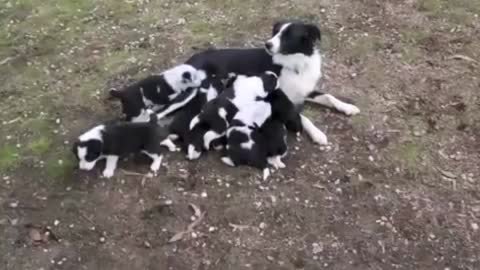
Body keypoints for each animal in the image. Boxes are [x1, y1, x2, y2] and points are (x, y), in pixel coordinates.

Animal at [184, 20, 360, 146]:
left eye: (288, 35)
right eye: (276, 33)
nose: (267, 44)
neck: (295, 64)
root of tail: (189, 61)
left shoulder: (306, 89)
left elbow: (329, 97)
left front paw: (347, 107)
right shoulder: (283, 99)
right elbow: (303, 117)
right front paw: (318, 134)